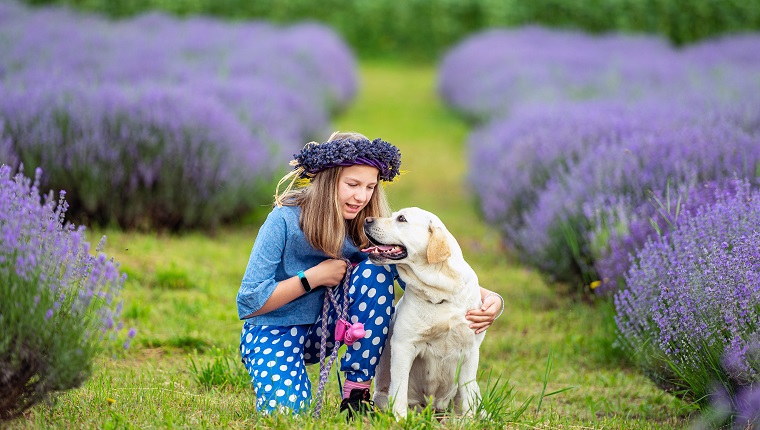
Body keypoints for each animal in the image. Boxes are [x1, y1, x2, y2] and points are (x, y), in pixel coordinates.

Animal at [360, 207, 484, 418]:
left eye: (401, 219)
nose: (367, 219)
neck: (441, 292)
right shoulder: (404, 346)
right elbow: (400, 387)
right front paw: (400, 418)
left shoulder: (470, 350)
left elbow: (467, 394)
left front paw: (468, 420)